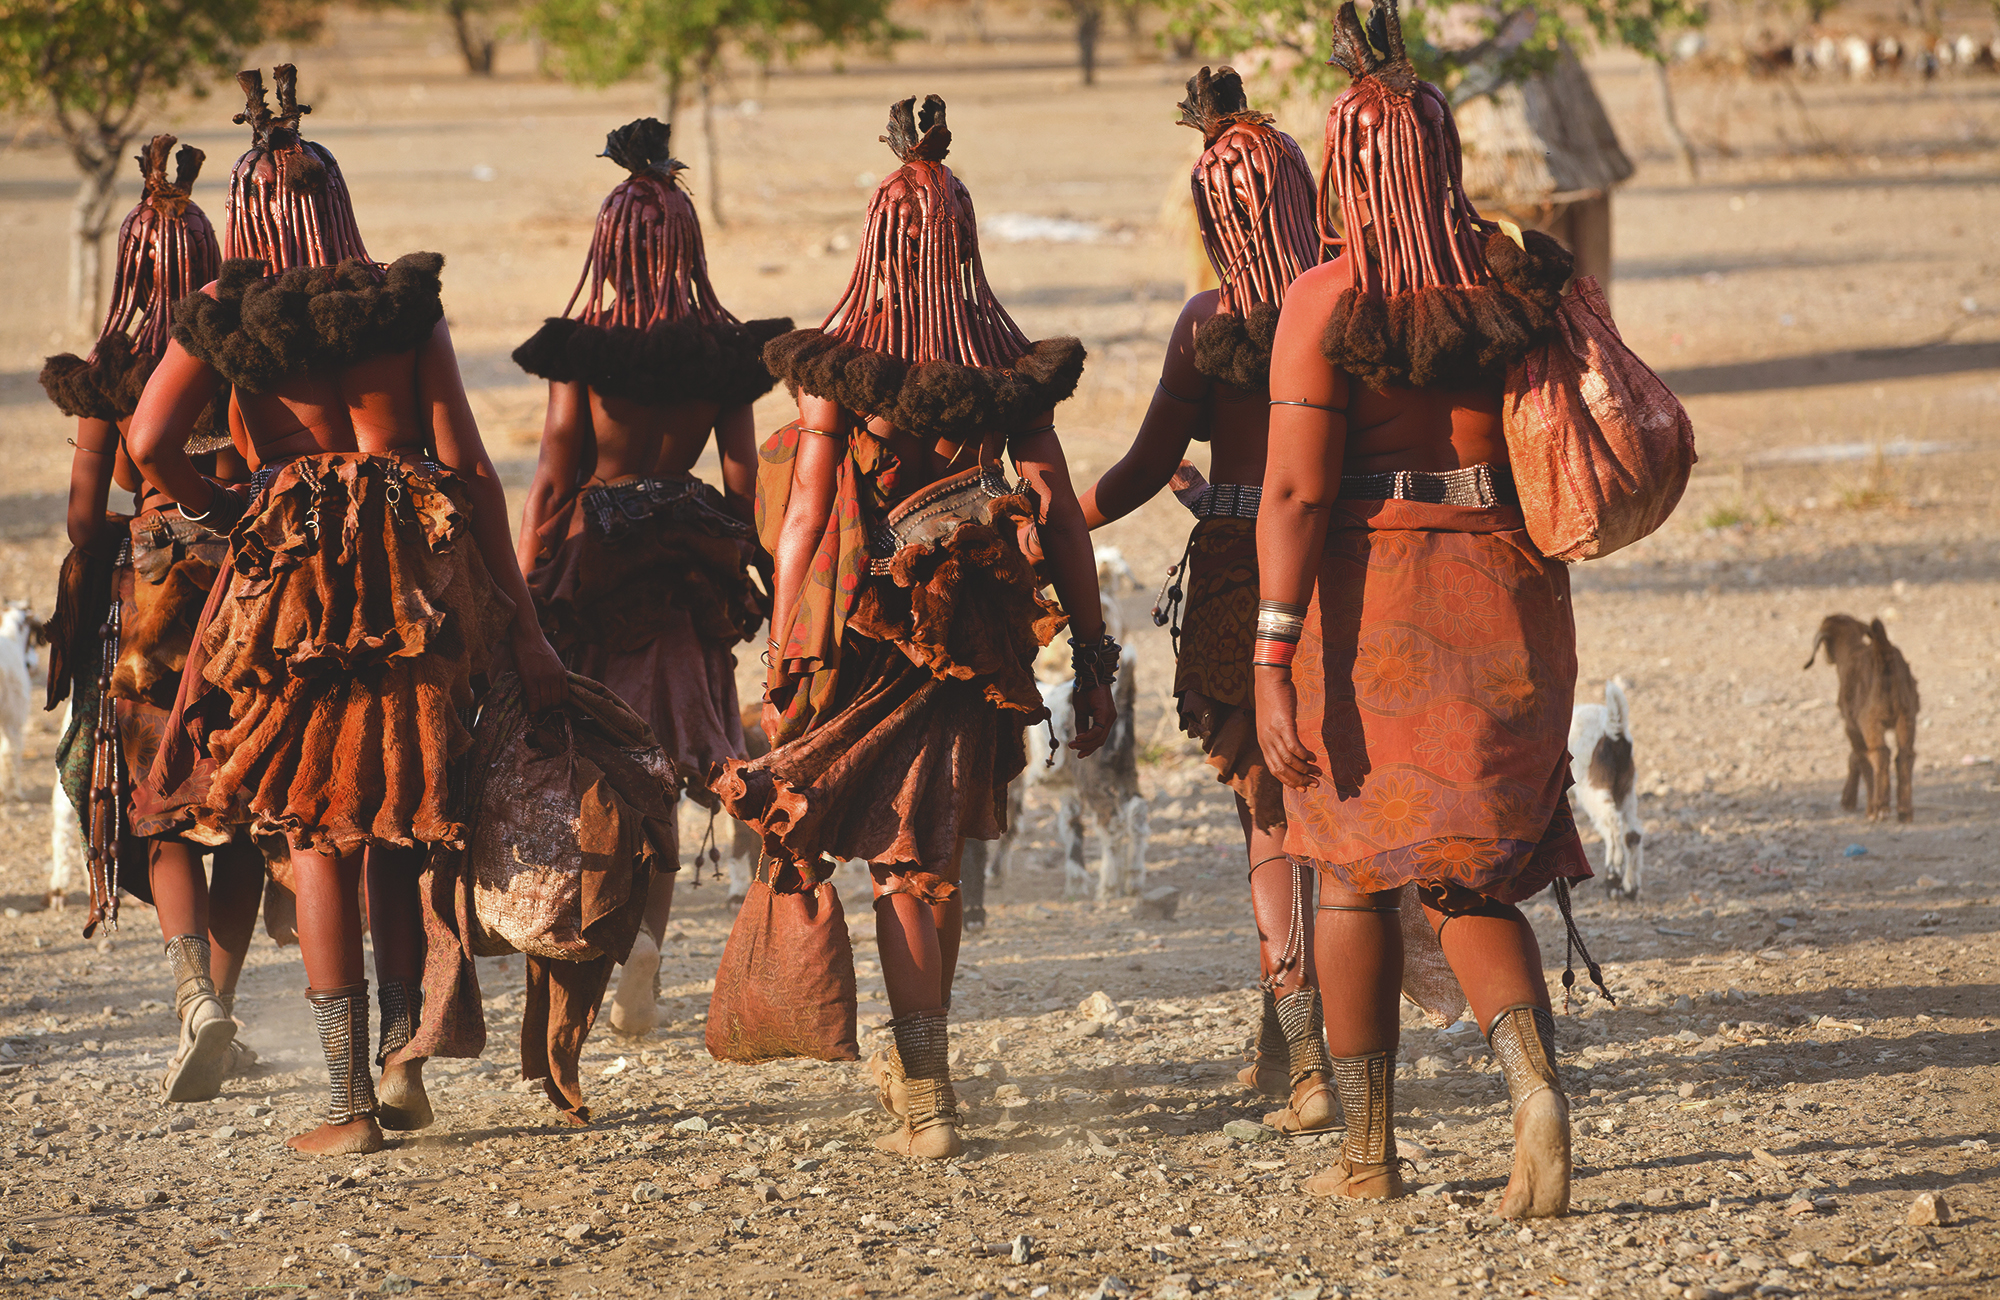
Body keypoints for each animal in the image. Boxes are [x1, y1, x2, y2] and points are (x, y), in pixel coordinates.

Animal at [1568, 672, 1648, 896]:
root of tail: (1613, 730)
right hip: (1625, 788)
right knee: (1632, 832)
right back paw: (1629, 887)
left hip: (1593, 788)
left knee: (1612, 823)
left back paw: (1613, 873)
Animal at [1800, 612, 1920, 816]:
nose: (1827, 658)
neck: (1851, 651)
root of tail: (1883, 655)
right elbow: (1856, 757)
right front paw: (1848, 799)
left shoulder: (1852, 726)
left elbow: (1861, 759)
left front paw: (1869, 807)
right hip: (1906, 715)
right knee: (1905, 754)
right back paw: (1905, 811)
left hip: (1871, 718)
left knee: (1880, 754)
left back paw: (1880, 808)